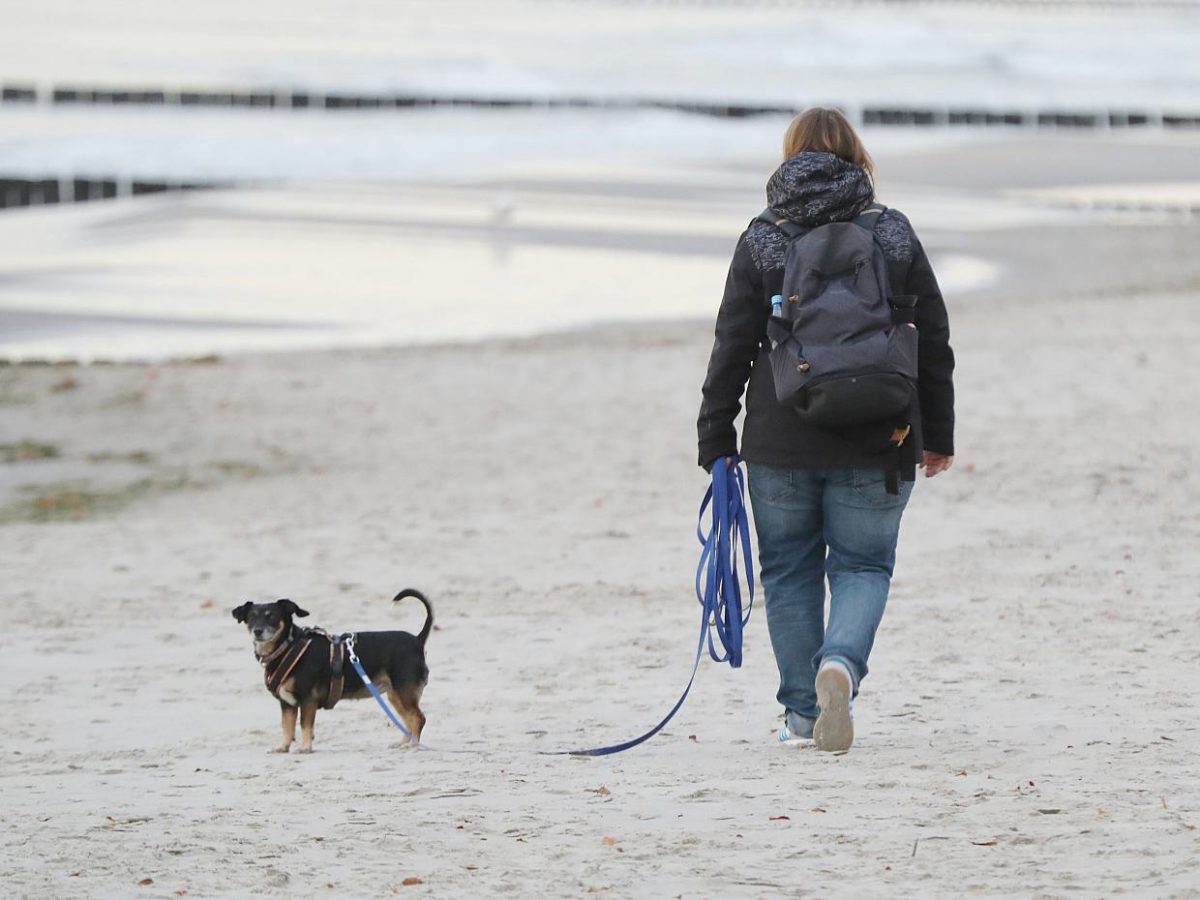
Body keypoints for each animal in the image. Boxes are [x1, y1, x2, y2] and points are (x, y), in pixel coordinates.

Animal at [229, 592, 432, 753]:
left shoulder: (307, 700)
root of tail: (417, 640)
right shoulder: (287, 704)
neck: (287, 646)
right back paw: (403, 743)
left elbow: (305, 726)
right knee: (407, 720)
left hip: (403, 692)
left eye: (271, 617)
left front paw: (305, 748)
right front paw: (283, 747)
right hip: (395, 695)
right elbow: (287, 727)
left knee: (418, 718)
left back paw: (413, 745)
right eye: (251, 617)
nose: (258, 631)